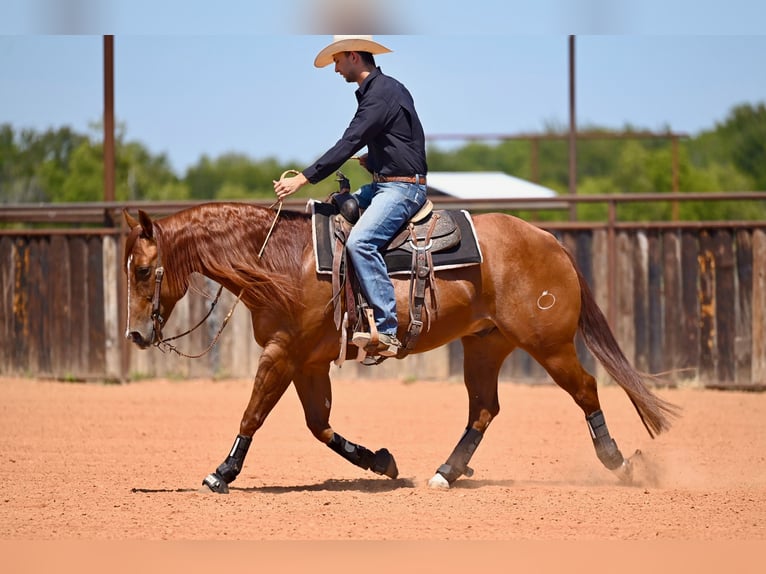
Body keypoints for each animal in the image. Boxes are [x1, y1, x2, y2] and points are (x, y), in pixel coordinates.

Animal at [122, 201, 678, 493]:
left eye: (145, 270)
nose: (136, 335)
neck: (283, 261)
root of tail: (551, 240)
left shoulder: (283, 353)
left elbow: (252, 413)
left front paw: (222, 473)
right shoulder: (308, 362)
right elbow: (319, 425)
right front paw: (381, 462)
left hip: (551, 344)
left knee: (586, 390)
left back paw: (618, 463)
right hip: (485, 346)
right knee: (484, 409)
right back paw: (446, 472)